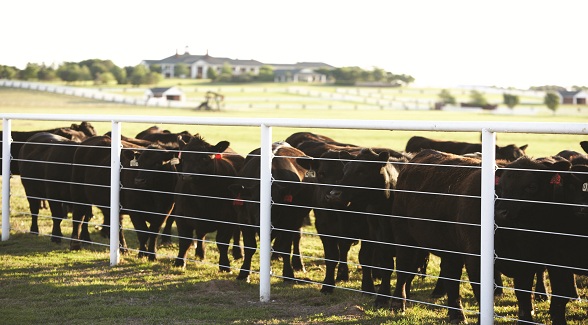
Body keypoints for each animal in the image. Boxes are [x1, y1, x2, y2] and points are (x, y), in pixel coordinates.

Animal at [172, 133, 243, 270]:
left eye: (205, 157)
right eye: (183, 157)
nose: (187, 176)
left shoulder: (228, 219)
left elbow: (222, 242)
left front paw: (225, 265)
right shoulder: (181, 216)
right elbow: (184, 241)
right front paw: (179, 262)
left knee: (237, 233)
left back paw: (238, 254)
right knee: (200, 234)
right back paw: (200, 253)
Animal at [229, 142, 312, 280]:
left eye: (276, 203)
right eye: (254, 201)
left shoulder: (289, 221)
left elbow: (285, 248)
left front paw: (288, 274)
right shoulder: (244, 219)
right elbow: (250, 247)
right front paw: (244, 273)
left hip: (298, 219)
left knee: (296, 237)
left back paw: (298, 264)